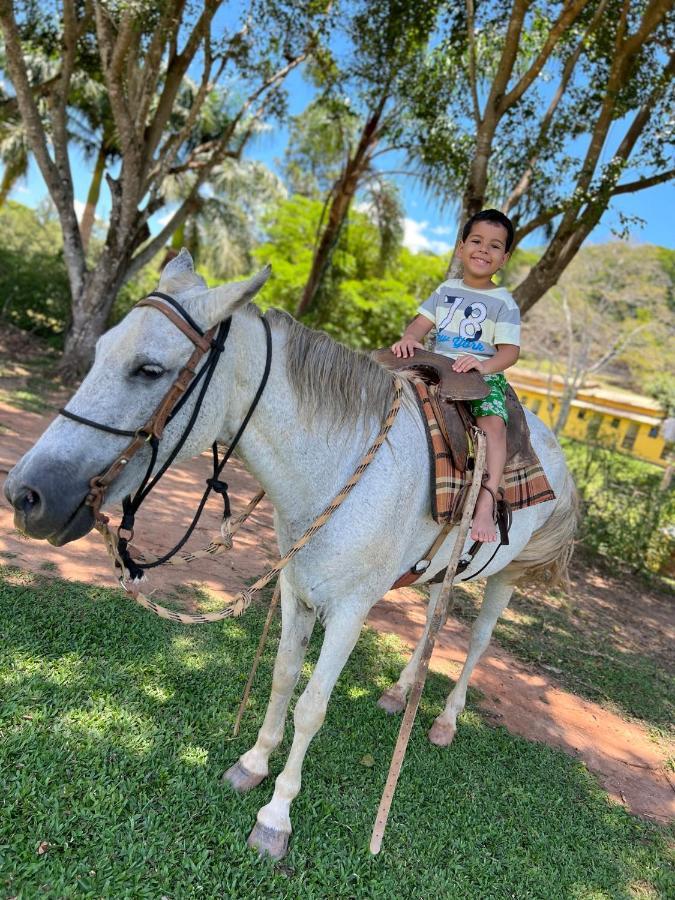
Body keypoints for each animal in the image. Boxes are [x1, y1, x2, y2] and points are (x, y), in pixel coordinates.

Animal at [3, 251, 576, 856]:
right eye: (98, 352)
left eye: (149, 370)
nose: (26, 494)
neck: (340, 465)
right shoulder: (295, 591)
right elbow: (281, 678)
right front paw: (252, 765)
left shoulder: (349, 612)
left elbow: (312, 706)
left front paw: (276, 816)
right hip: (443, 573)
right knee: (430, 628)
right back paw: (399, 693)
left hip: (506, 578)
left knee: (477, 643)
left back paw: (445, 720)